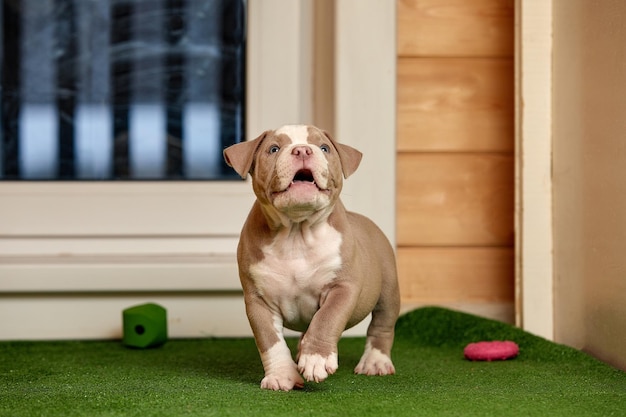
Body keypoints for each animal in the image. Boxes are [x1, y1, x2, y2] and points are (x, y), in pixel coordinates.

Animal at [224, 123, 398, 390]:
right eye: (274, 149)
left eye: (324, 148)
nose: (303, 150)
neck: (296, 233)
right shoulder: (258, 301)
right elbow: (270, 341)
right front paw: (282, 375)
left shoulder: (342, 287)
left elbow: (327, 318)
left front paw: (316, 359)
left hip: (388, 288)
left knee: (382, 324)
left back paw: (375, 362)